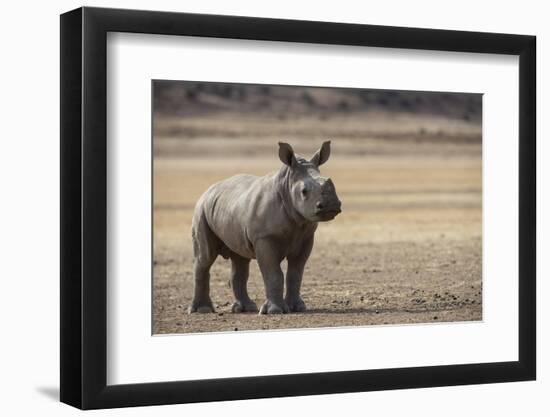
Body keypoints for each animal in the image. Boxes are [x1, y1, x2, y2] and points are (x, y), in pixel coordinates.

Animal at [191, 141, 344, 314]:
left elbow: (296, 273)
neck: (286, 185)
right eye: (304, 191)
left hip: (228, 207)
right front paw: (274, 311)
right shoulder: (264, 238)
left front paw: (297, 307)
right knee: (205, 258)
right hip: (201, 209)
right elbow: (274, 273)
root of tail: (208, 190)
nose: (331, 205)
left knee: (240, 259)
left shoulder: (306, 237)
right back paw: (202, 310)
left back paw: (246, 308)